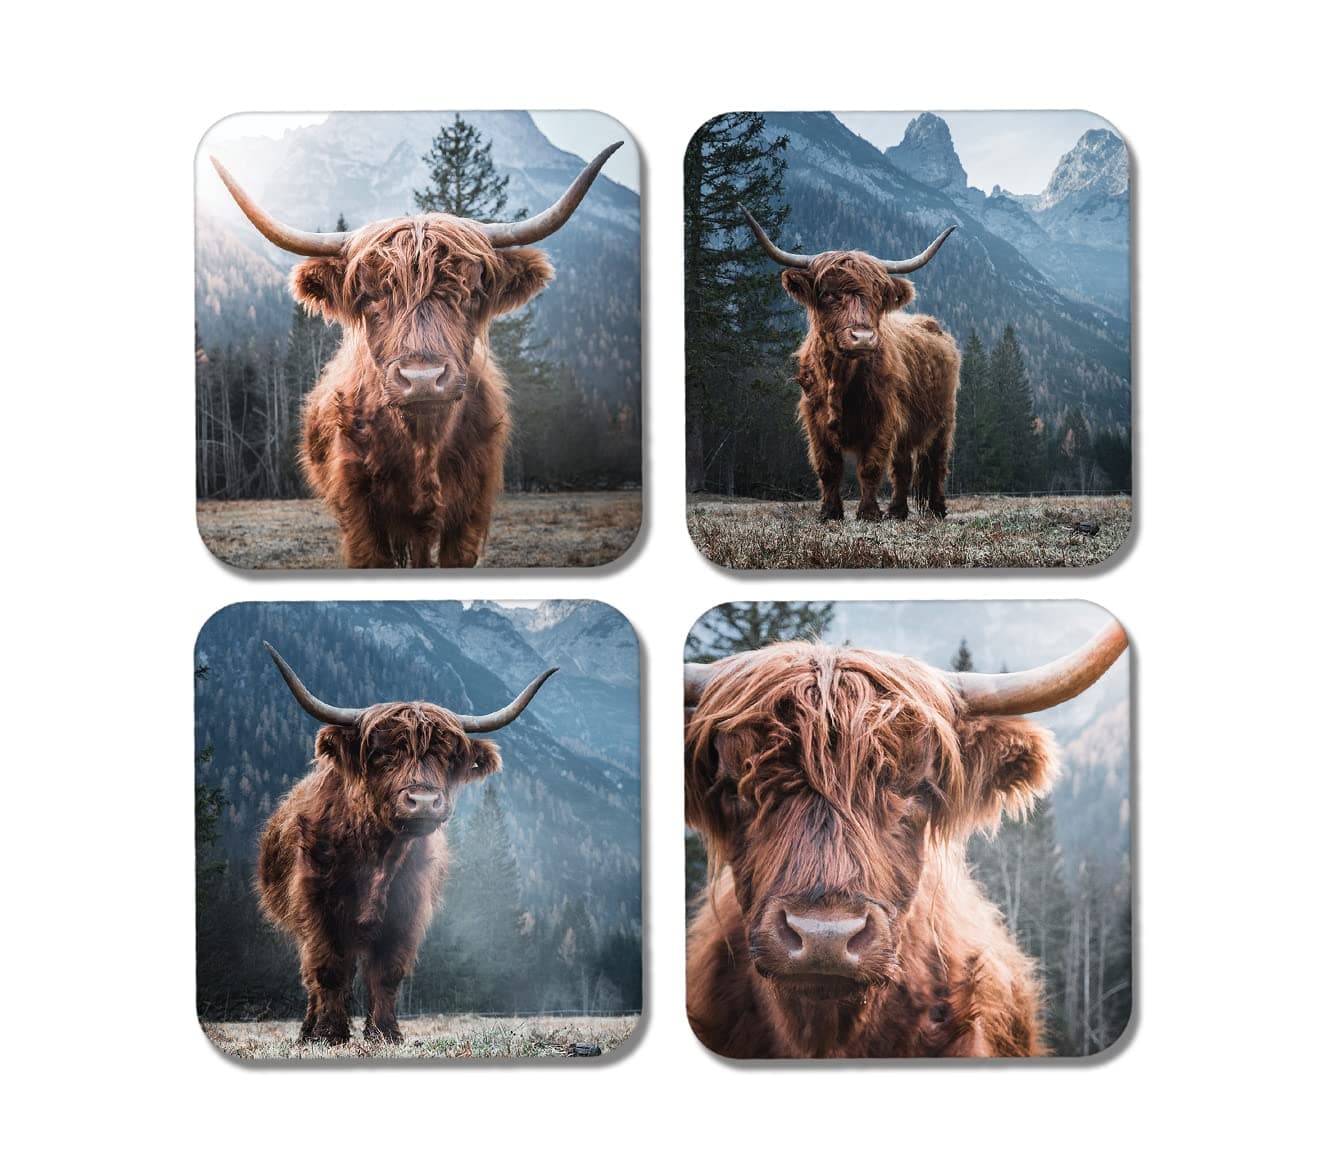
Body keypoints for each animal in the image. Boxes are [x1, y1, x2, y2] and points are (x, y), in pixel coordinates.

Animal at [211, 144, 621, 567]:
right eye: (369, 294)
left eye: (472, 292)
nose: (423, 379)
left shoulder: (472, 511)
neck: (423, 443)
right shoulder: (359, 513)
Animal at [256, 643, 555, 1043]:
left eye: (447, 756)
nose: (424, 801)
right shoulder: (317, 910)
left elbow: (388, 973)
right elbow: (328, 969)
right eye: (382, 754)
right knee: (314, 977)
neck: (376, 855)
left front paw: (385, 1033)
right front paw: (329, 1034)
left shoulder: (407, 912)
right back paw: (308, 1030)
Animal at [742, 206, 960, 522]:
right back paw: (897, 511)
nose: (863, 338)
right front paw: (829, 513)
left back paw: (937, 509)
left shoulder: (883, 417)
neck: (840, 378)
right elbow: (828, 468)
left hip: (944, 420)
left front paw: (868, 513)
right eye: (827, 293)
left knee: (937, 464)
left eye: (878, 296)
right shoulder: (815, 420)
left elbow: (870, 467)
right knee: (903, 467)